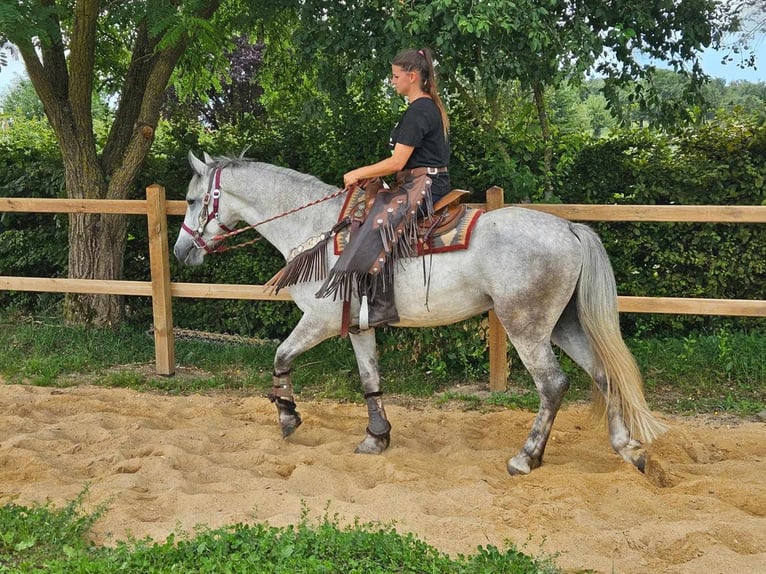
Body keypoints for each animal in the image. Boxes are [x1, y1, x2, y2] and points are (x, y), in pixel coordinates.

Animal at [174, 153, 664, 476]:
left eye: (195, 200)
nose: (180, 251)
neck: (317, 228)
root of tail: (569, 228)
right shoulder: (358, 326)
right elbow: (369, 379)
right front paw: (377, 436)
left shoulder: (319, 321)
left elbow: (280, 356)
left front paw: (288, 416)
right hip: (563, 325)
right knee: (602, 373)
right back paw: (628, 449)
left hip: (527, 327)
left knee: (553, 385)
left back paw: (526, 458)